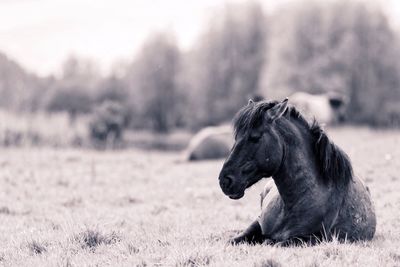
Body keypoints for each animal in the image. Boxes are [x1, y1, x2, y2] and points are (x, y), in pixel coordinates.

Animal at [217, 99, 376, 245]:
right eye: (236, 137)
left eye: (255, 137)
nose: (225, 181)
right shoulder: (257, 223)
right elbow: (234, 240)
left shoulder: (310, 238)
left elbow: (276, 242)